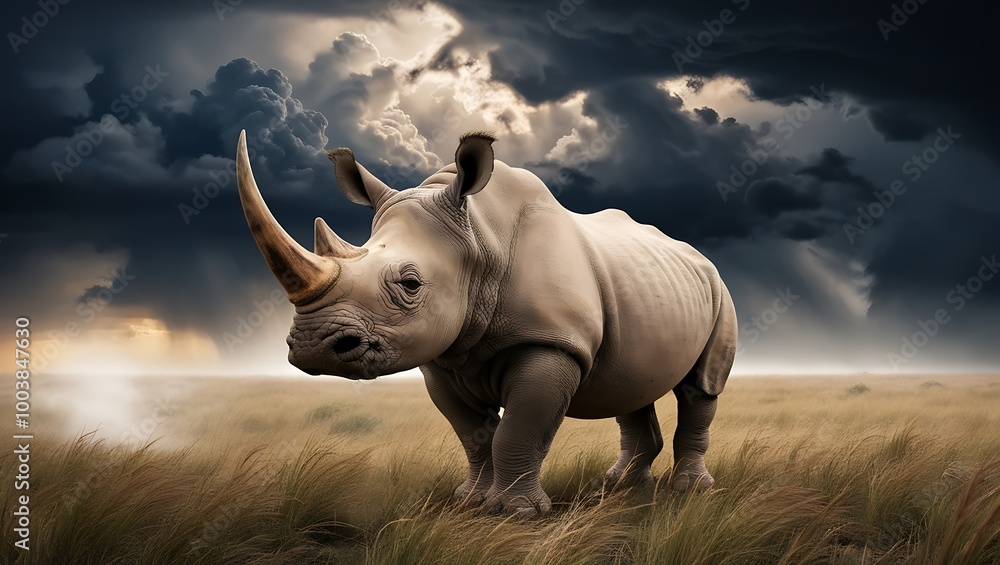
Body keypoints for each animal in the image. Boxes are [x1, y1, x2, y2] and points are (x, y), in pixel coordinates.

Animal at [234, 129, 737, 515]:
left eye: (411, 284)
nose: (312, 347)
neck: (479, 240)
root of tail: (696, 254)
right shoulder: (443, 355)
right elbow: (472, 435)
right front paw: (470, 502)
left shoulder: (551, 342)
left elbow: (520, 429)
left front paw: (517, 513)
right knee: (632, 383)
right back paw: (619, 486)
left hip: (718, 288)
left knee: (701, 386)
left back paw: (689, 490)